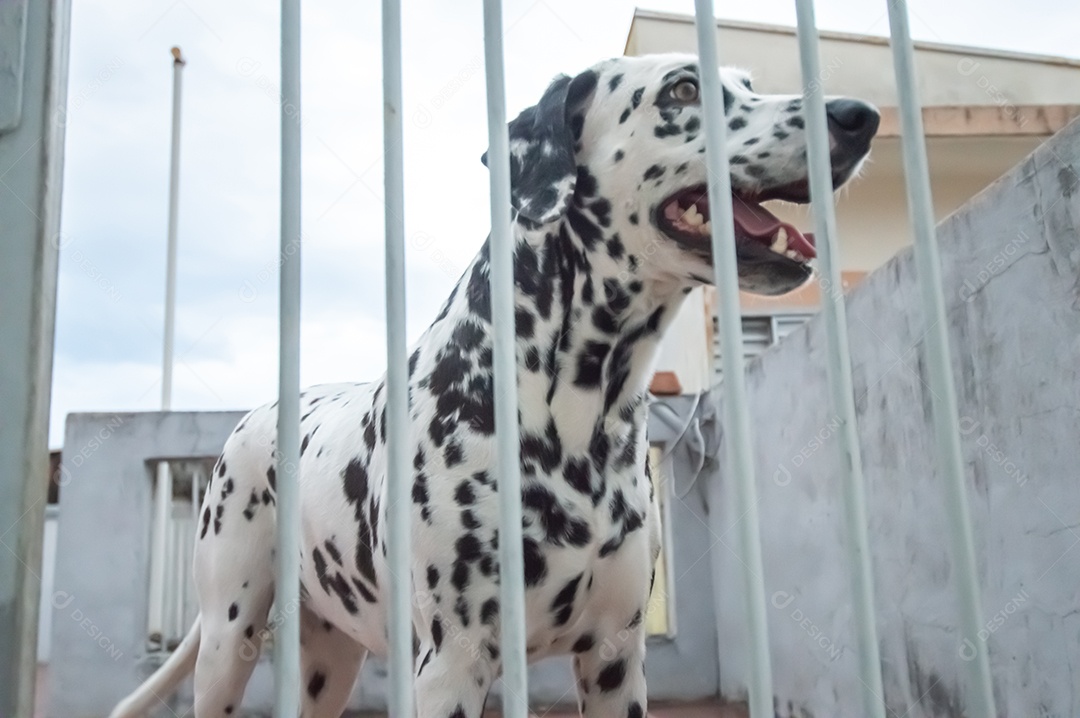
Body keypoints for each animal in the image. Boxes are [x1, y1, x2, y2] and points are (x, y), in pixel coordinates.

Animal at [111, 53, 876, 712]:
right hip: (227, 642)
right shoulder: (452, 664)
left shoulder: (615, 660)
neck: (575, 414)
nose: (857, 115)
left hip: (330, 660)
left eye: (747, 84)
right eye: (683, 90)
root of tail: (255, 416)